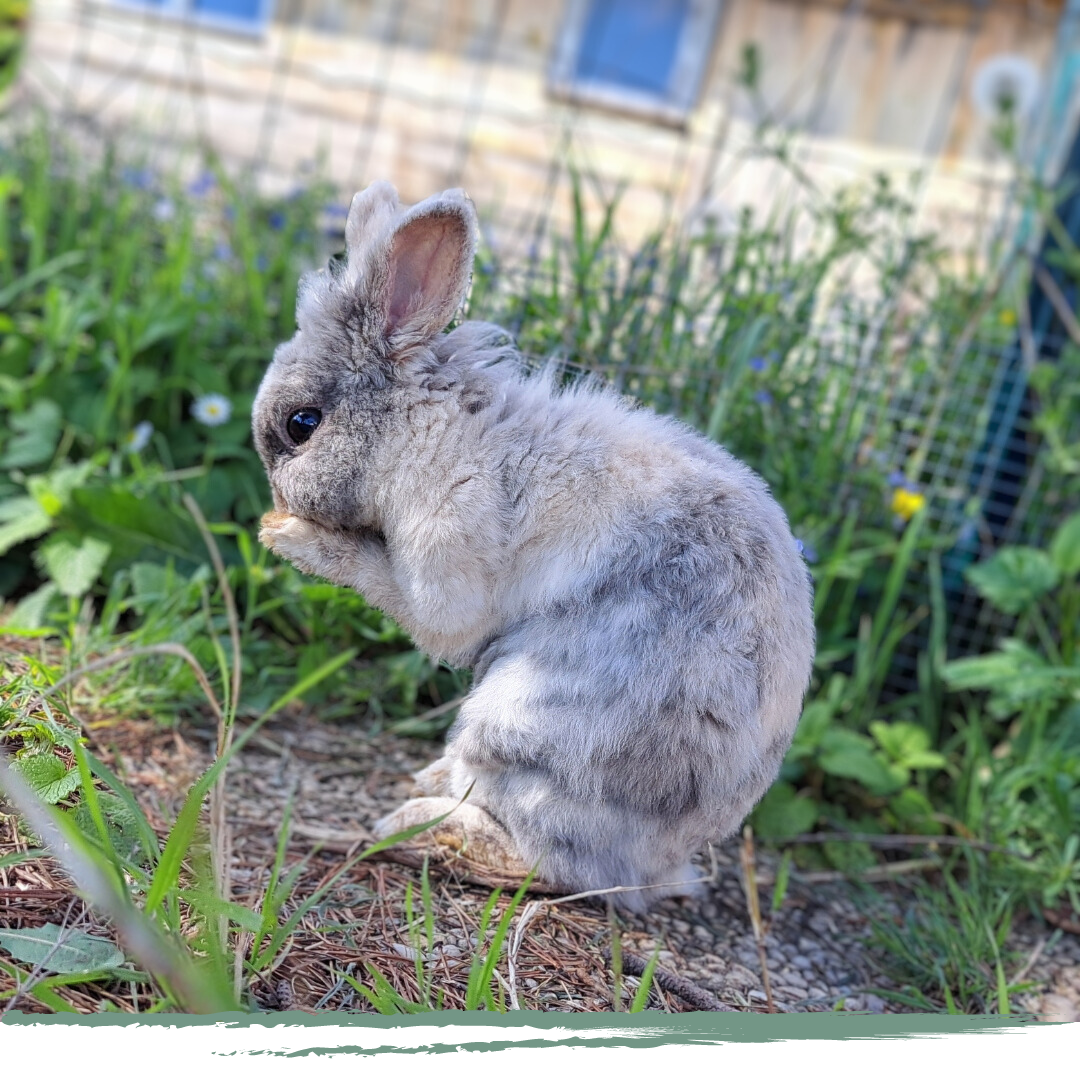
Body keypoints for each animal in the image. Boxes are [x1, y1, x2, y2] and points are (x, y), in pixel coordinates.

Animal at [250, 179, 812, 911]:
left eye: (302, 424)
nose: (275, 501)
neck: (419, 430)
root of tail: (667, 865)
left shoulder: (447, 552)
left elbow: (412, 600)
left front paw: (291, 538)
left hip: (525, 728)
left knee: (549, 862)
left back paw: (422, 830)